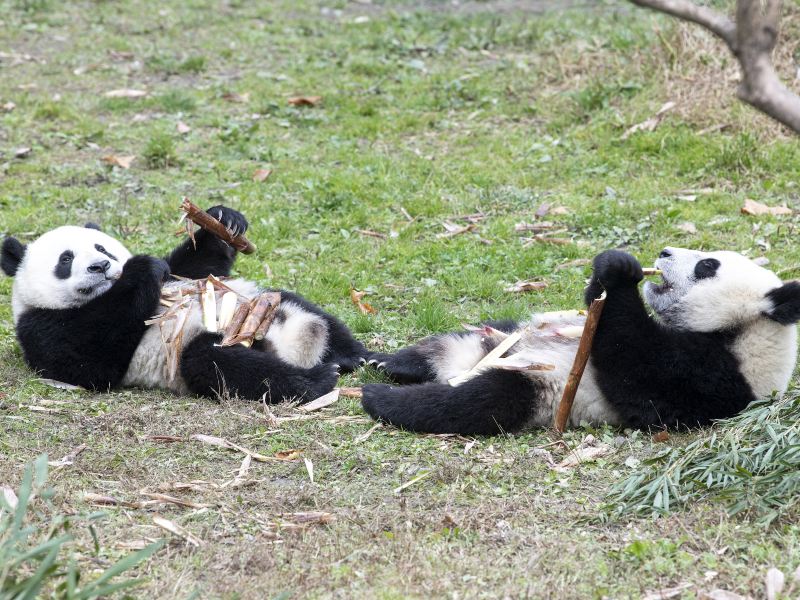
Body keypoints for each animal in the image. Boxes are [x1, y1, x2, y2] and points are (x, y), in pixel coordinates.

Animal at [0, 206, 368, 404]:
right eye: (66, 260)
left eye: (102, 248)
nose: (100, 267)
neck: (102, 295)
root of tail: (293, 344)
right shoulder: (42, 325)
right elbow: (91, 364)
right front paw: (140, 271)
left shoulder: (182, 275)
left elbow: (195, 267)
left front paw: (223, 221)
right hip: (206, 349)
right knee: (220, 364)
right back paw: (317, 379)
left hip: (263, 301)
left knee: (309, 311)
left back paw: (357, 356)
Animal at [362, 246, 800, 434]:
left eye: (707, 265)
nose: (664, 251)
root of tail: (461, 367)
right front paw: (610, 266)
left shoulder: (712, 378)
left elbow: (634, 367)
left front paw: (622, 272)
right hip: (501, 339)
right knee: (452, 341)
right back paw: (389, 362)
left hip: (537, 384)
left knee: (475, 402)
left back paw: (381, 397)